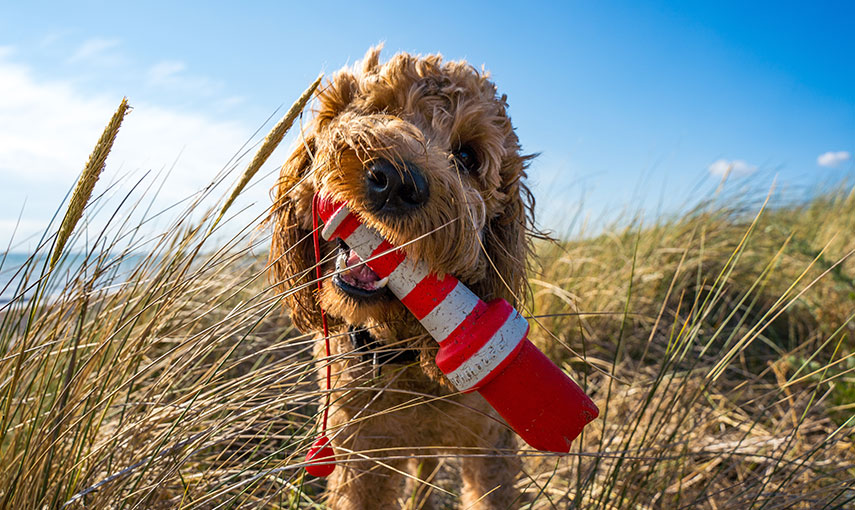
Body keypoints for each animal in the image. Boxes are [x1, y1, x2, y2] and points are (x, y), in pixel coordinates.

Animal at [270, 45, 536, 508]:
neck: (402, 351)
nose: (395, 181)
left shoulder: (490, 444)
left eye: (467, 156)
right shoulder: (360, 453)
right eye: (379, 110)